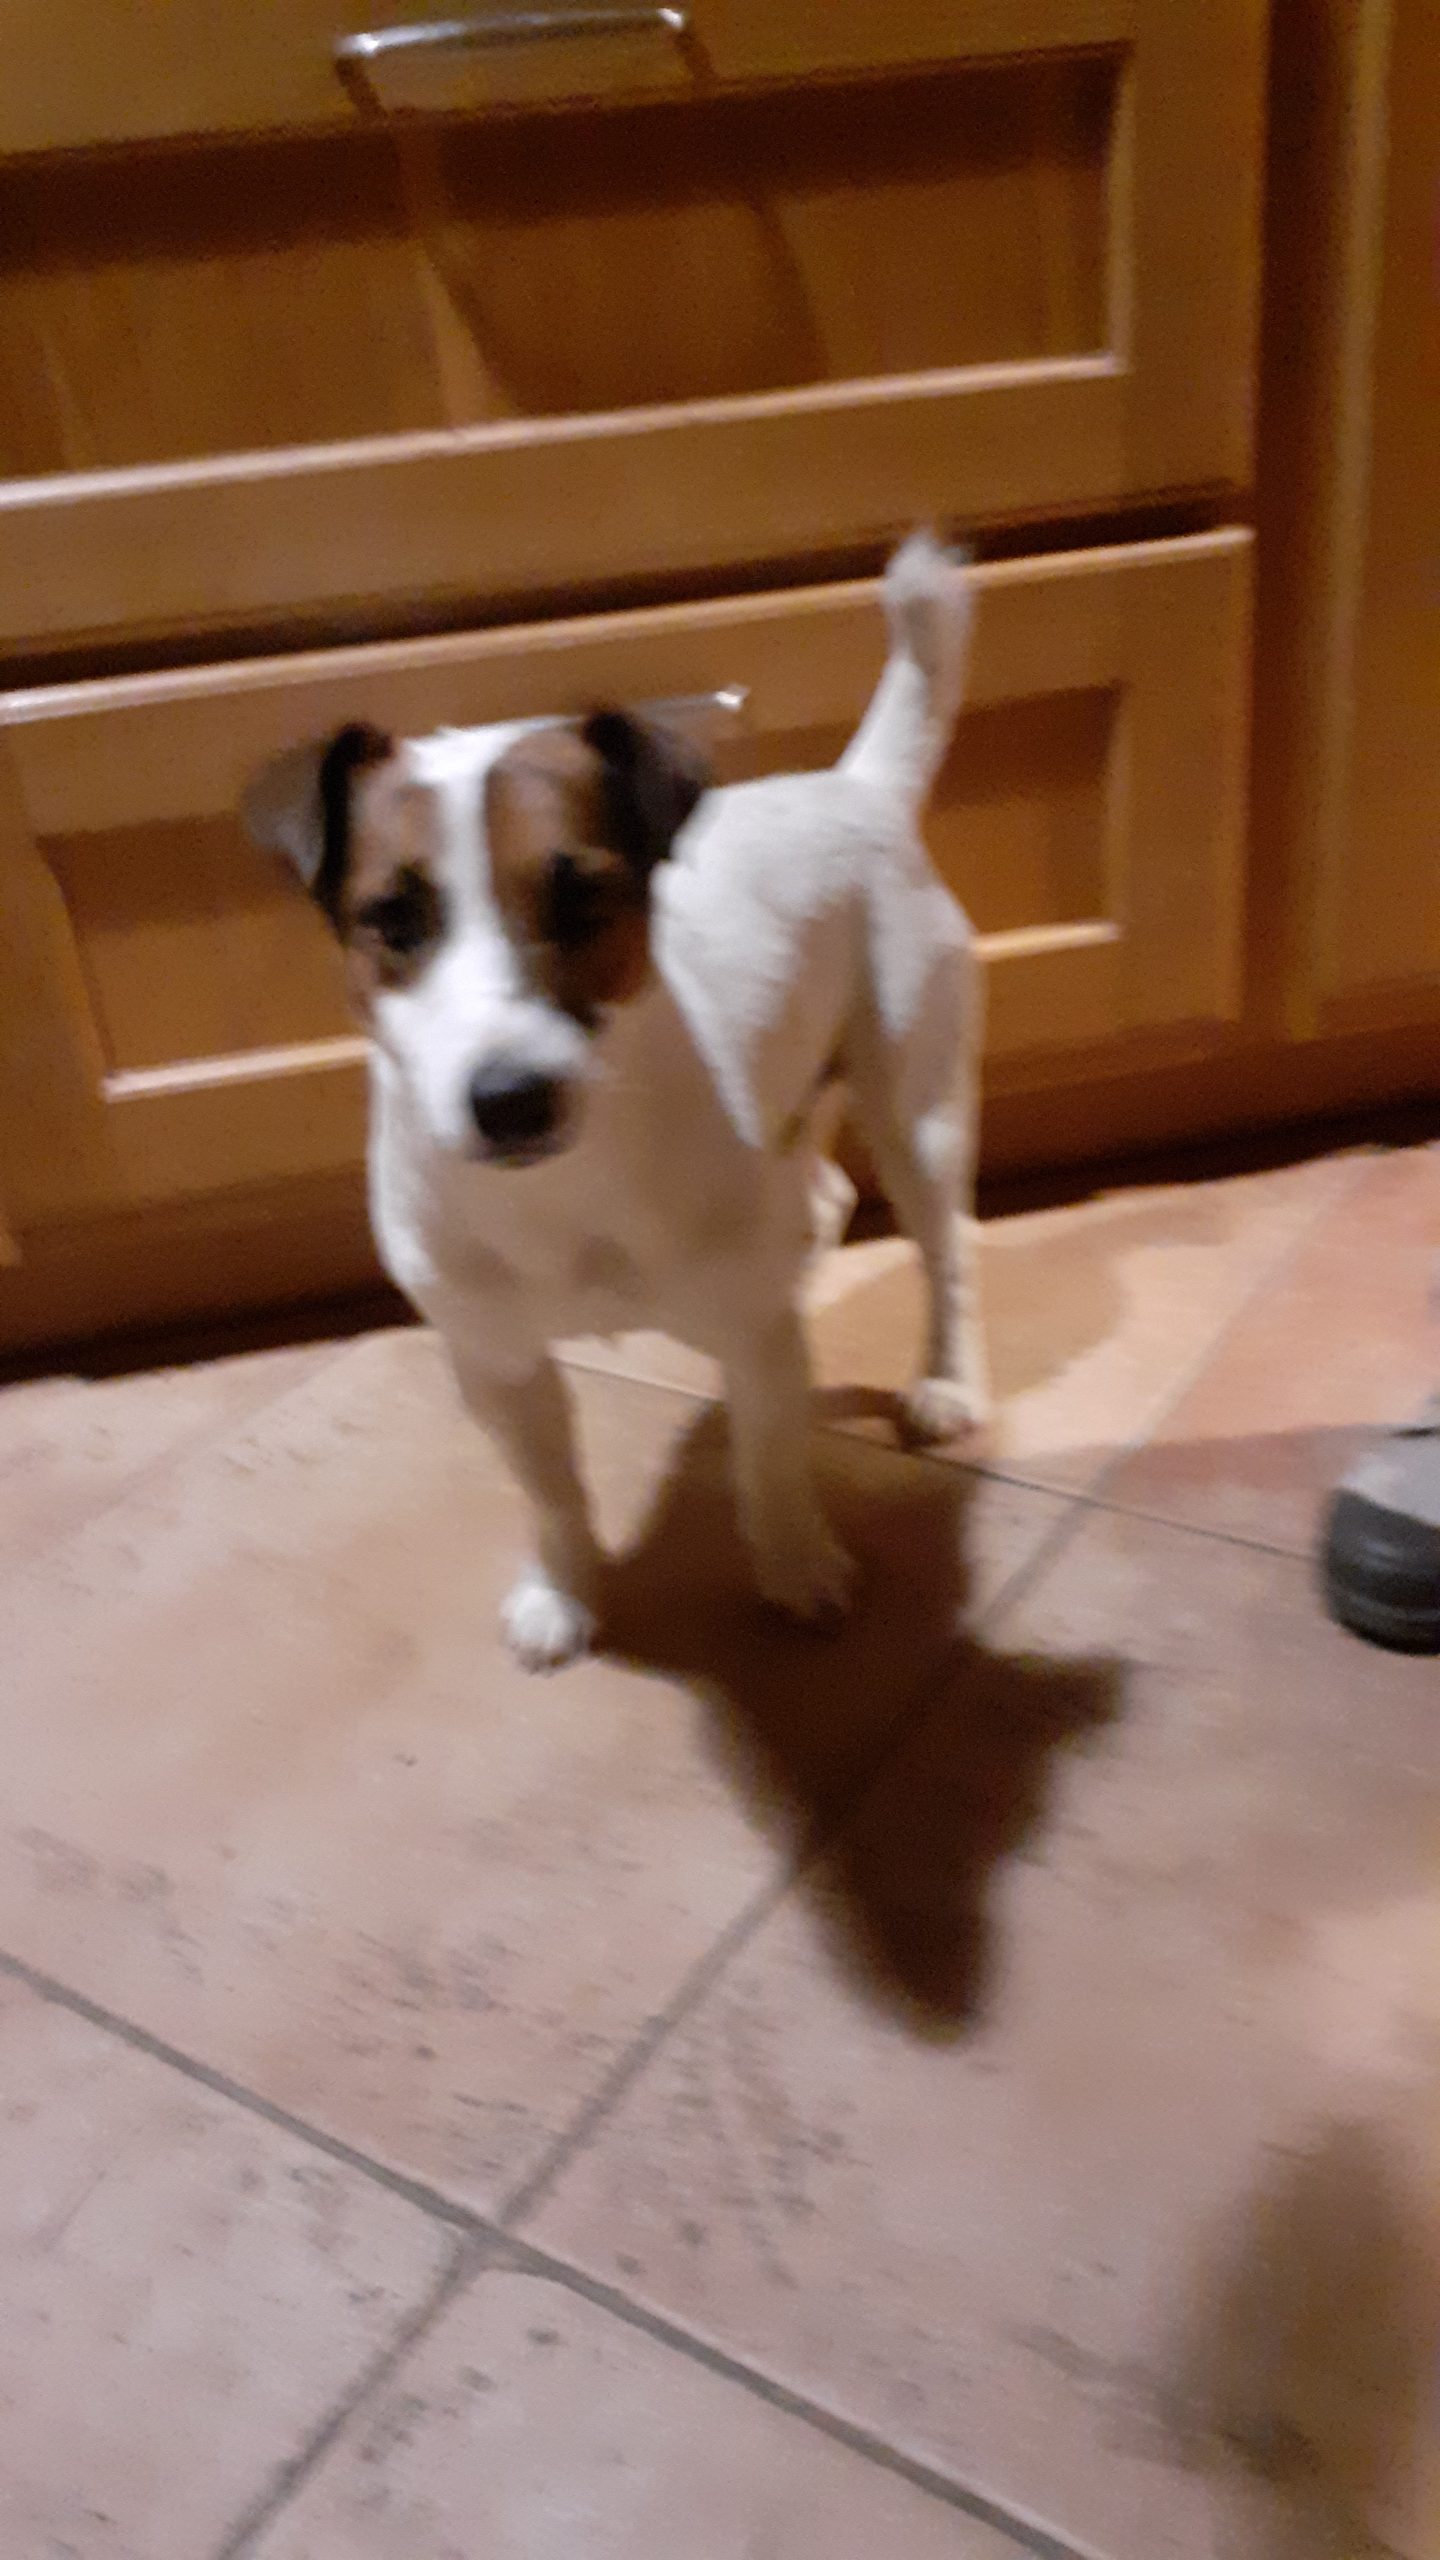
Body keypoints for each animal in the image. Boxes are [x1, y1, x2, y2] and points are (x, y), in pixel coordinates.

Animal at [244, 534, 987, 1670]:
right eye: (394, 920)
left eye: (583, 897)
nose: (510, 1100)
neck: (565, 1191)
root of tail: (852, 786)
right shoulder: (496, 1362)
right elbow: (549, 1489)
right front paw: (564, 1590)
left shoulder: (753, 1337)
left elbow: (769, 1461)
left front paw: (794, 1564)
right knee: (823, 1194)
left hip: (917, 1105)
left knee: (945, 1244)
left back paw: (946, 1381)